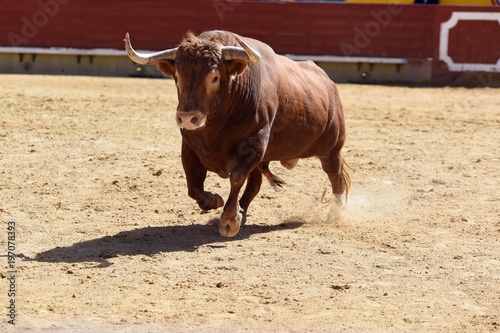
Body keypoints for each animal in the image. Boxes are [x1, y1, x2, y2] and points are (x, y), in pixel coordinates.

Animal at [124, 29, 350, 236]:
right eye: (177, 76)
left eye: (214, 77)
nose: (187, 118)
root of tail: (329, 83)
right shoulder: (189, 146)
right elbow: (193, 184)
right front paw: (215, 201)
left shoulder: (255, 143)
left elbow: (237, 177)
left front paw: (229, 220)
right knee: (255, 184)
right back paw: (243, 211)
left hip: (332, 150)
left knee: (335, 176)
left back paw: (334, 214)